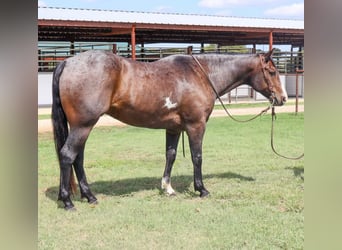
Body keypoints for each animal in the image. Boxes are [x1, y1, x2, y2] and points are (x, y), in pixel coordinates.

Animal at [51, 47, 286, 210]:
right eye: (272, 71)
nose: (282, 99)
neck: (201, 74)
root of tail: (68, 62)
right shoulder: (196, 125)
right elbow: (197, 157)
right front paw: (201, 189)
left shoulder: (173, 128)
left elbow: (170, 155)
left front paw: (168, 188)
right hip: (83, 126)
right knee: (67, 155)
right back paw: (68, 201)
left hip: (82, 127)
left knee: (78, 158)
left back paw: (89, 196)